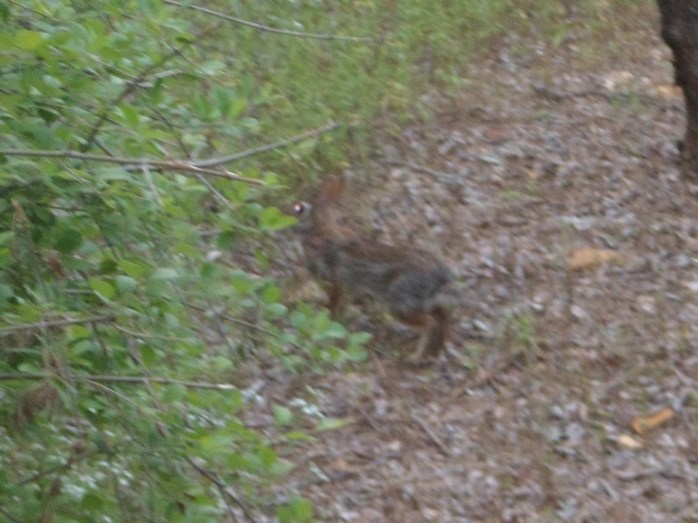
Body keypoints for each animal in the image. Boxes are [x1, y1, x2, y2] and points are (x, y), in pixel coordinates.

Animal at [292, 175, 456, 362]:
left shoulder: (335, 284)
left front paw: (328, 320)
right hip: (425, 303)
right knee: (442, 319)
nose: (283, 215)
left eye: (299, 208)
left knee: (428, 323)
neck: (319, 232)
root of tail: (440, 278)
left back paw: (414, 356)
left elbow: (333, 307)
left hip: (400, 302)